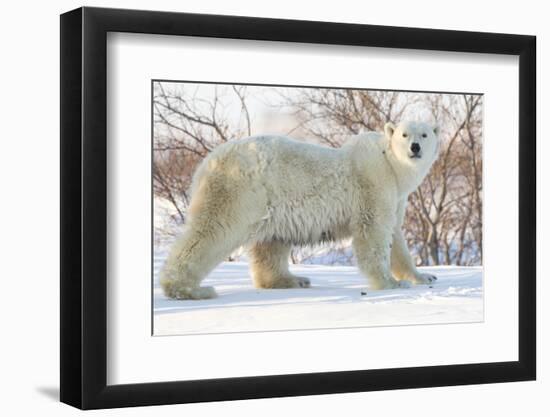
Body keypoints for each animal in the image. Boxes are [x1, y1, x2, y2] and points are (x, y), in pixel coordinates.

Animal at [162, 120, 442, 300]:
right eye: (404, 135)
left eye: (425, 134)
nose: (415, 147)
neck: (390, 165)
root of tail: (207, 163)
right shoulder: (373, 184)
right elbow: (374, 232)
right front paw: (391, 283)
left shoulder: (396, 196)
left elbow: (395, 236)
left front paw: (424, 277)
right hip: (239, 189)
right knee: (212, 230)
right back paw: (189, 289)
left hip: (270, 201)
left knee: (271, 243)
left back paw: (293, 279)